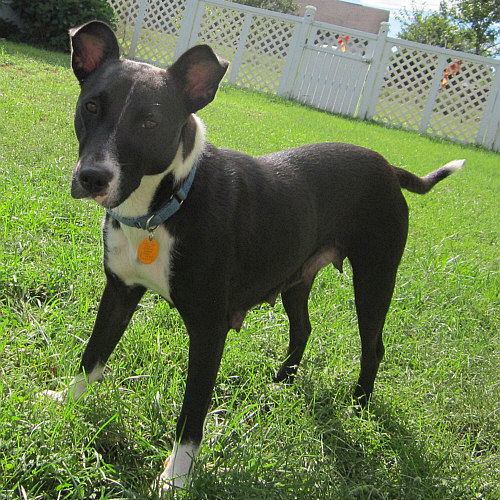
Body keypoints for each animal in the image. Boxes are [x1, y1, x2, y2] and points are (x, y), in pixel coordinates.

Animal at [44, 22, 464, 492]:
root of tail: (389, 168)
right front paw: (66, 402)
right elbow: (93, 355)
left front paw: (176, 477)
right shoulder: (119, 292)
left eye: (150, 122)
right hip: (299, 276)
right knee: (303, 328)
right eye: (91, 106)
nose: (92, 177)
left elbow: (191, 415)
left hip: (375, 277)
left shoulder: (208, 330)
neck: (164, 206)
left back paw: (358, 404)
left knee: (372, 347)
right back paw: (282, 381)